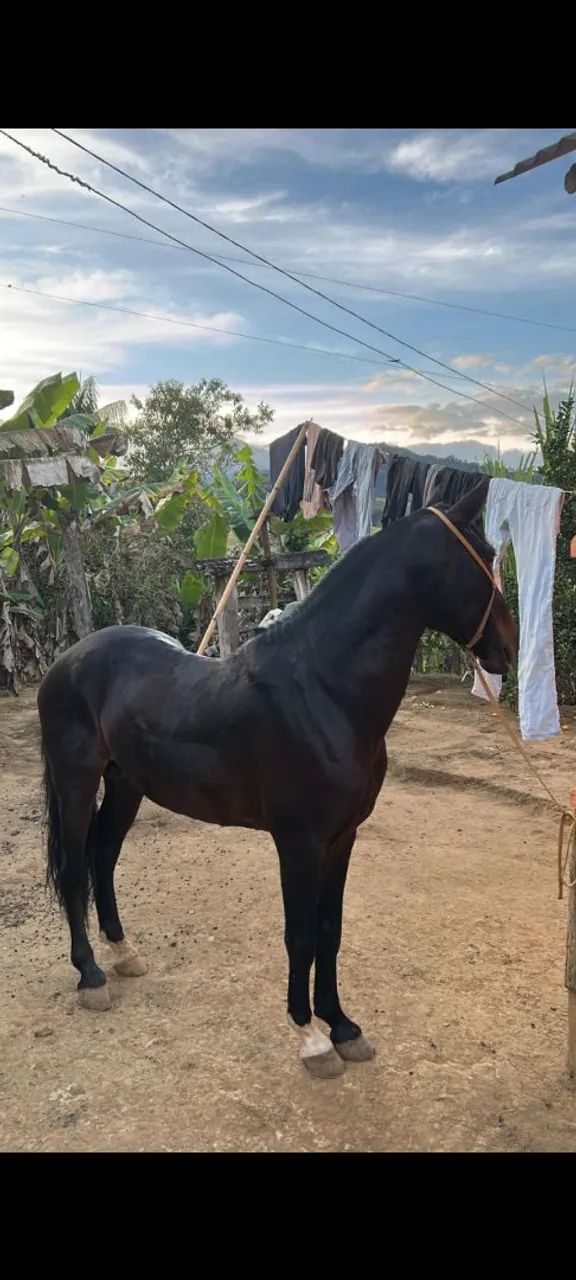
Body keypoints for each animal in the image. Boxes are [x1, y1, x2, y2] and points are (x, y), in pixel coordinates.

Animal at [38, 482, 517, 1079]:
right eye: (484, 558)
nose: (509, 646)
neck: (324, 690)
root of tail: (65, 662)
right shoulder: (299, 841)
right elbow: (301, 935)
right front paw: (310, 1036)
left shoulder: (342, 839)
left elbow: (330, 929)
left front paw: (343, 1027)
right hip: (77, 783)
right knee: (75, 868)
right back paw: (91, 975)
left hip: (126, 784)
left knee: (103, 857)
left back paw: (124, 953)